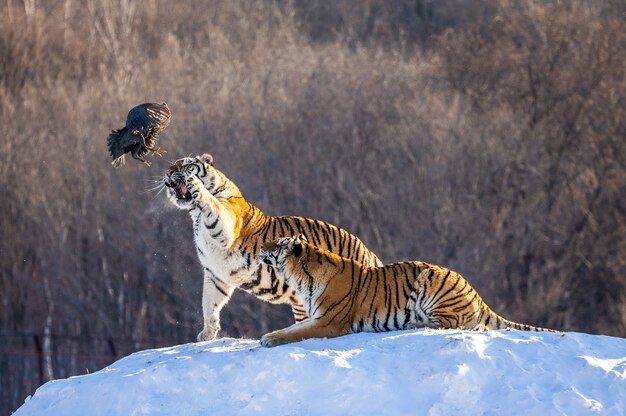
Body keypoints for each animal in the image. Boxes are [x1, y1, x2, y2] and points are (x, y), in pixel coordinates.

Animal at [161, 154, 380, 342]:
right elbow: (209, 304)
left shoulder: (225, 228)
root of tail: (369, 253)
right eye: (173, 165)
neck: (195, 216)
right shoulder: (216, 274)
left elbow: (211, 203)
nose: (169, 171)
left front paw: (196, 184)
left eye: (187, 164)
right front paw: (207, 334)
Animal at [256, 234, 552, 348]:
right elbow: (292, 328)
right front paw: (269, 335)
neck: (299, 277)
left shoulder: (328, 321)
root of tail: (476, 294)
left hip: (430, 281)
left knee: (450, 323)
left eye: (277, 244)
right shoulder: (316, 317)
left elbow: (295, 333)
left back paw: (414, 323)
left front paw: (269, 339)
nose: (260, 246)